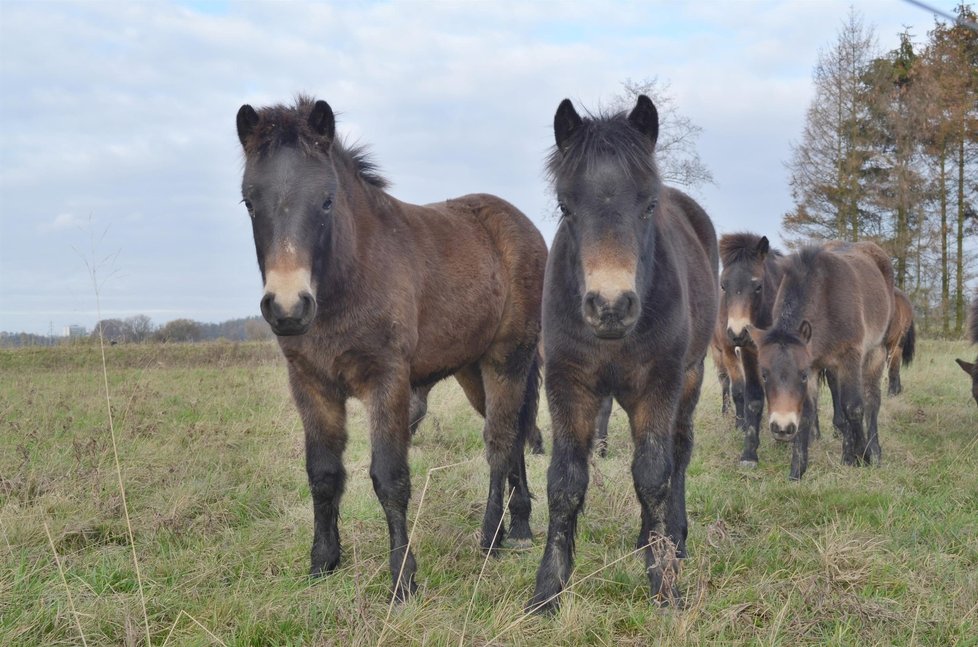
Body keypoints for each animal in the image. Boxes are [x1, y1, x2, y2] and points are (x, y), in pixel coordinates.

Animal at [233, 96, 544, 604]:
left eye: (326, 199)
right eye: (249, 201)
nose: (287, 306)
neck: (350, 276)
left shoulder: (388, 381)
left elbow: (389, 478)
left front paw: (403, 578)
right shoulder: (311, 384)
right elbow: (323, 474)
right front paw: (322, 563)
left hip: (507, 359)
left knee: (499, 443)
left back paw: (492, 537)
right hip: (472, 369)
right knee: (515, 435)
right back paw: (519, 527)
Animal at [528, 95, 716, 612]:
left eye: (649, 205)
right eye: (565, 206)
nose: (610, 306)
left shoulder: (660, 384)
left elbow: (654, 476)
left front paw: (664, 583)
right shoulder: (567, 384)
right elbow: (565, 483)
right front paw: (547, 591)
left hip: (690, 379)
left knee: (678, 453)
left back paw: (673, 539)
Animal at [712, 233, 788, 466]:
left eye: (758, 286)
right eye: (724, 286)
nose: (738, 333)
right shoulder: (744, 353)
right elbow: (749, 395)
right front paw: (748, 452)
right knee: (726, 383)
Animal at [748, 240, 892, 478]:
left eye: (802, 375)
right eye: (764, 375)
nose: (782, 428)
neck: (824, 297)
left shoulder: (850, 357)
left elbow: (854, 407)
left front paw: (863, 456)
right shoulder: (815, 365)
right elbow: (808, 412)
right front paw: (797, 470)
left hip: (876, 352)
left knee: (872, 400)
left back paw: (874, 452)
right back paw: (847, 457)